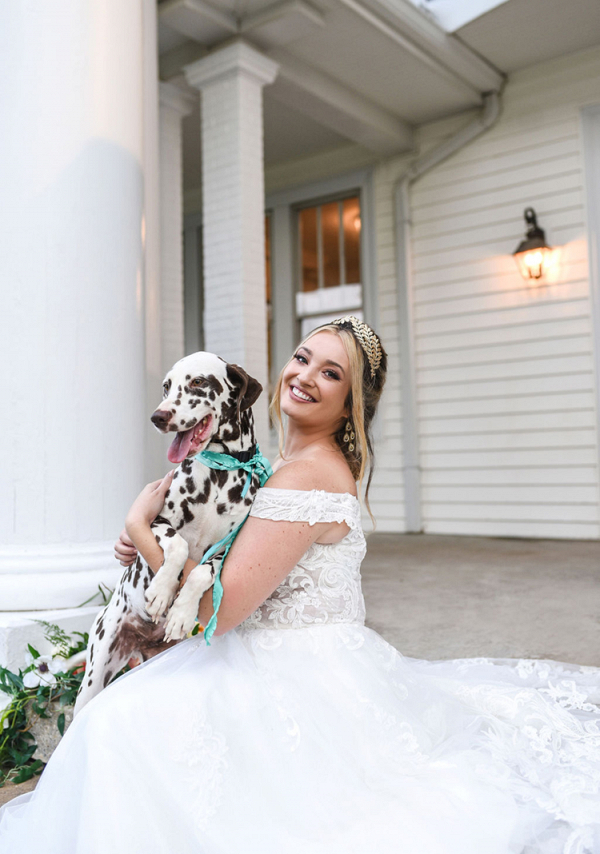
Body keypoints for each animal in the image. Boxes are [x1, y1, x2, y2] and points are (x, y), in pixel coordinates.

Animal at [74, 352, 262, 716]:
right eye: (165, 386)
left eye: (198, 382)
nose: (158, 417)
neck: (219, 477)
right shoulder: (155, 521)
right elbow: (176, 545)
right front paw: (161, 593)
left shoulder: (227, 550)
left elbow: (202, 572)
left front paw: (181, 611)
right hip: (94, 674)